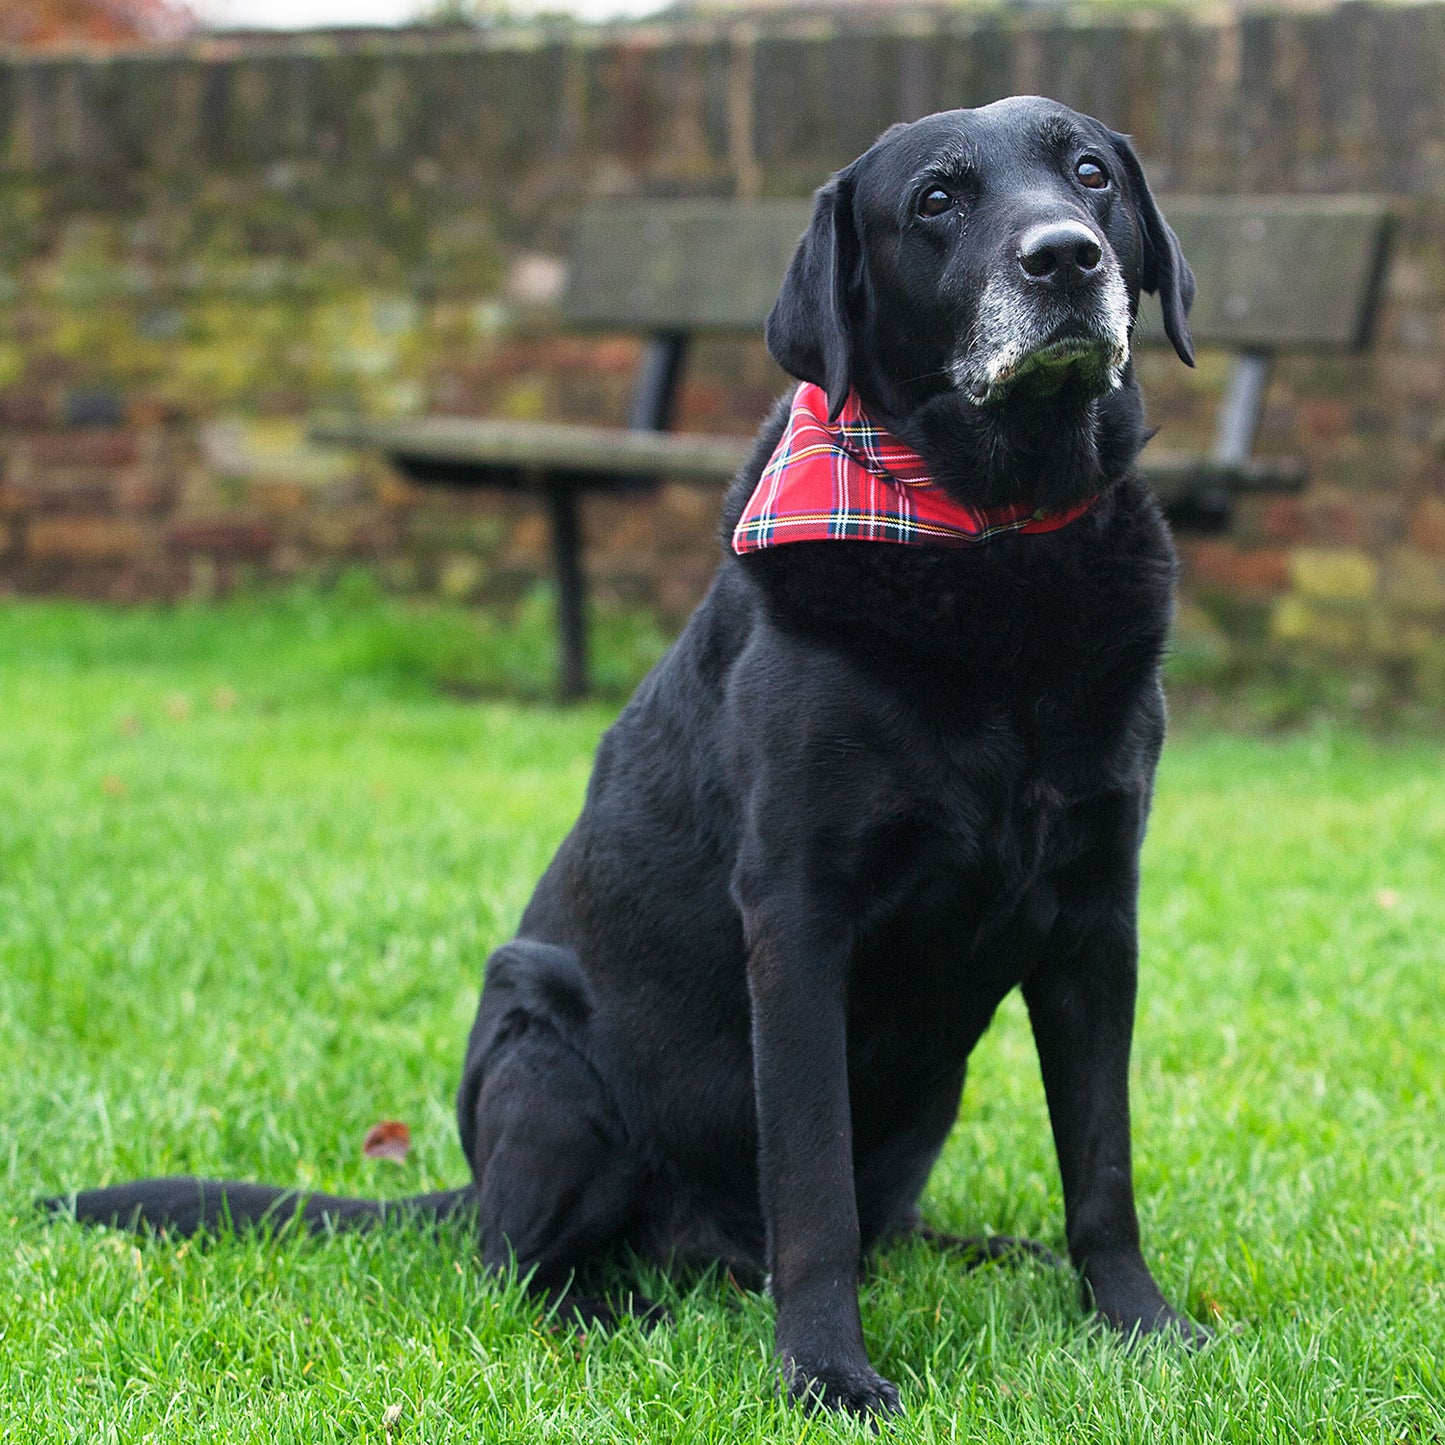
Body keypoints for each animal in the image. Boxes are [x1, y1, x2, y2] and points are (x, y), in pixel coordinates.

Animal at [56, 101, 1202, 1421]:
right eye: (934, 200)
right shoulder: (797, 920)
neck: (991, 541)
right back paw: (618, 1310)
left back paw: (977, 1252)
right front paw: (826, 1369)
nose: (1065, 257)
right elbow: (811, 1187)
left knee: (888, 1222)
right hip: (547, 1064)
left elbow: (1100, 1168)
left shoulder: (1095, 916)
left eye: (1090, 173)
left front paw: (1138, 1325)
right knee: (517, 1263)